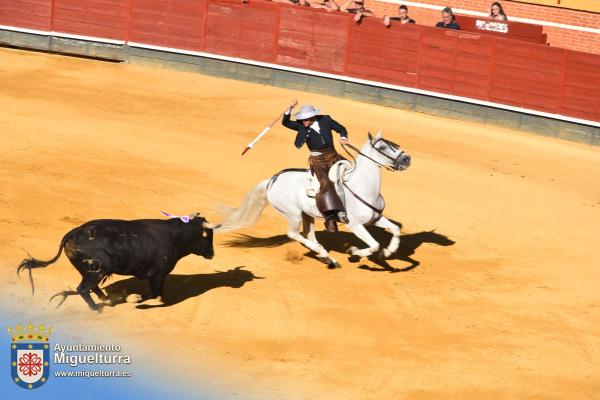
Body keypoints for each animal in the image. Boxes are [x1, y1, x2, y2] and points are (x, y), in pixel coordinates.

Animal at [18, 214, 220, 310]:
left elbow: (158, 294)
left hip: (92, 271)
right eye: (207, 235)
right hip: (95, 270)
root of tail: (72, 233)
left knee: (90, 287)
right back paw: (96, 308)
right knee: (83, 288)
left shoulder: (157, 276)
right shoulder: (157, 274)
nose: (212, 254)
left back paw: (106, 299)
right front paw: (136, 299)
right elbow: (154, 294)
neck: (175, 236)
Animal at [218, 133, 410, 268]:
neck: (363, 186)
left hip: (306, 214)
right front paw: (354, 252)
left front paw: (387, 253)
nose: (407, 159)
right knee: (294, 234)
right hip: (293, 214)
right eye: (383, 147)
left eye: (395, 144)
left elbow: (395, 229)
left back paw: (328, 258)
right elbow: (374, 245)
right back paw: (323, 253)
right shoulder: (355, 225)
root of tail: (272, 180)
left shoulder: (376, 218)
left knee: (308, 234)